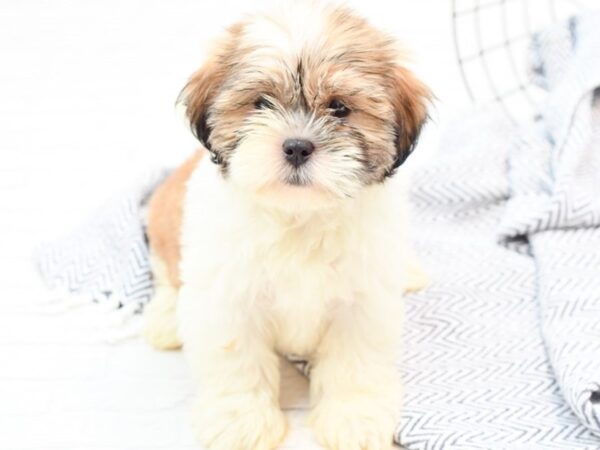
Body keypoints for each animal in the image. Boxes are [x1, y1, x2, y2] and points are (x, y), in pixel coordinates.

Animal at [143, 3, 428, 450]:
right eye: (260, 103)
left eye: (339, 108)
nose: (296, 146)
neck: (298, 215)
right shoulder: (229, 299)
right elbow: (237, 361)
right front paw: (240, 422)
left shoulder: (362, 303)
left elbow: (355, 361)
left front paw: (354, 418)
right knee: (167, 271)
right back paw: (165, 317)